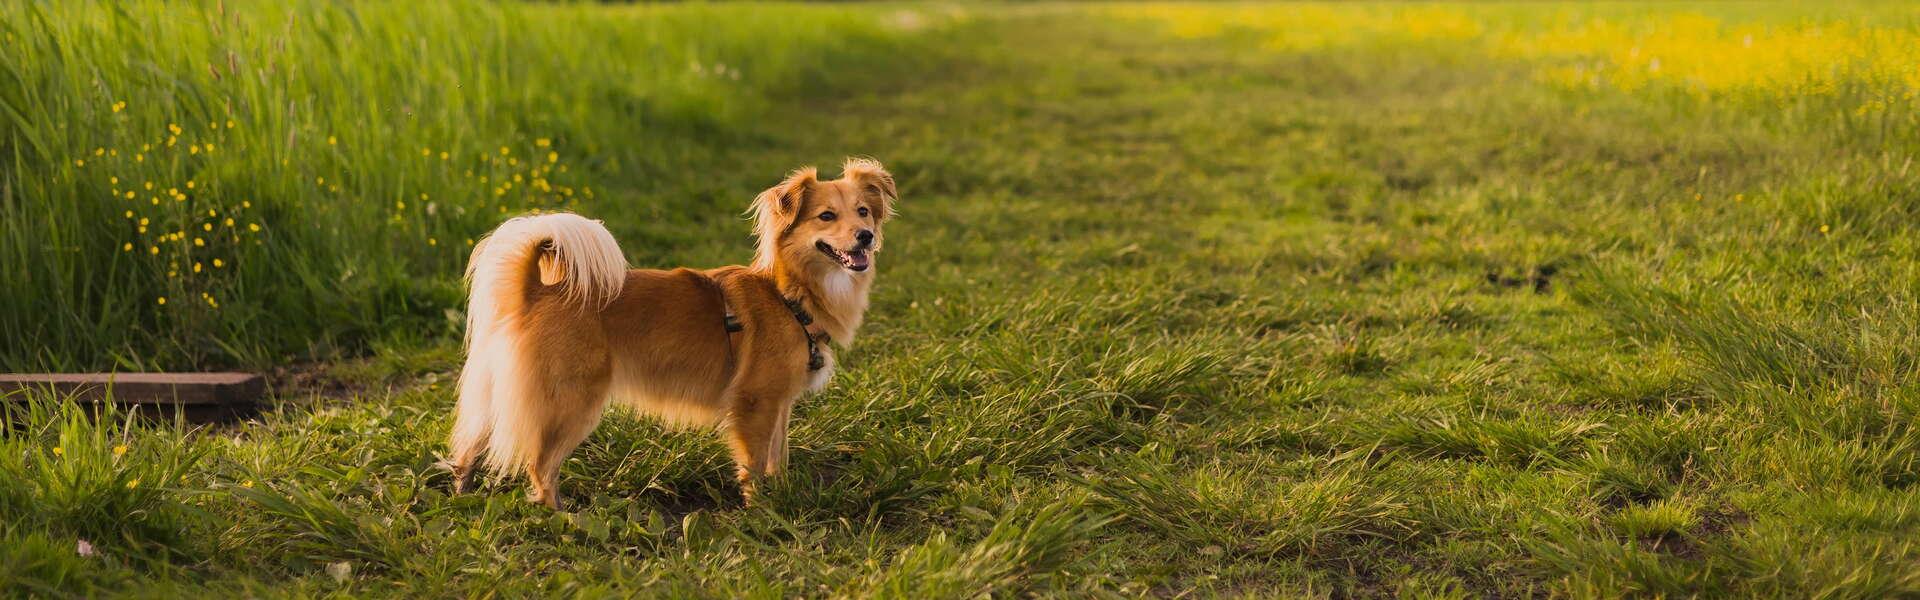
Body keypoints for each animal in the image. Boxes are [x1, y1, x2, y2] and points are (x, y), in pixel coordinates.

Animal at [445, 156, 894, 503]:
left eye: (863, 211)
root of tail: (536, 289)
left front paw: (782, 493)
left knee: (471, 446)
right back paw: (562, 516)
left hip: (496, 391)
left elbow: (777, 455)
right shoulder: (755, 402)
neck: (788, 294)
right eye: (826, 216)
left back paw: (462, 495)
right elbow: (755, 460)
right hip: (572, 399)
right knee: (539, 466)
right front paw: (762, 508)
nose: (866, 236)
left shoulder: (779, 401)